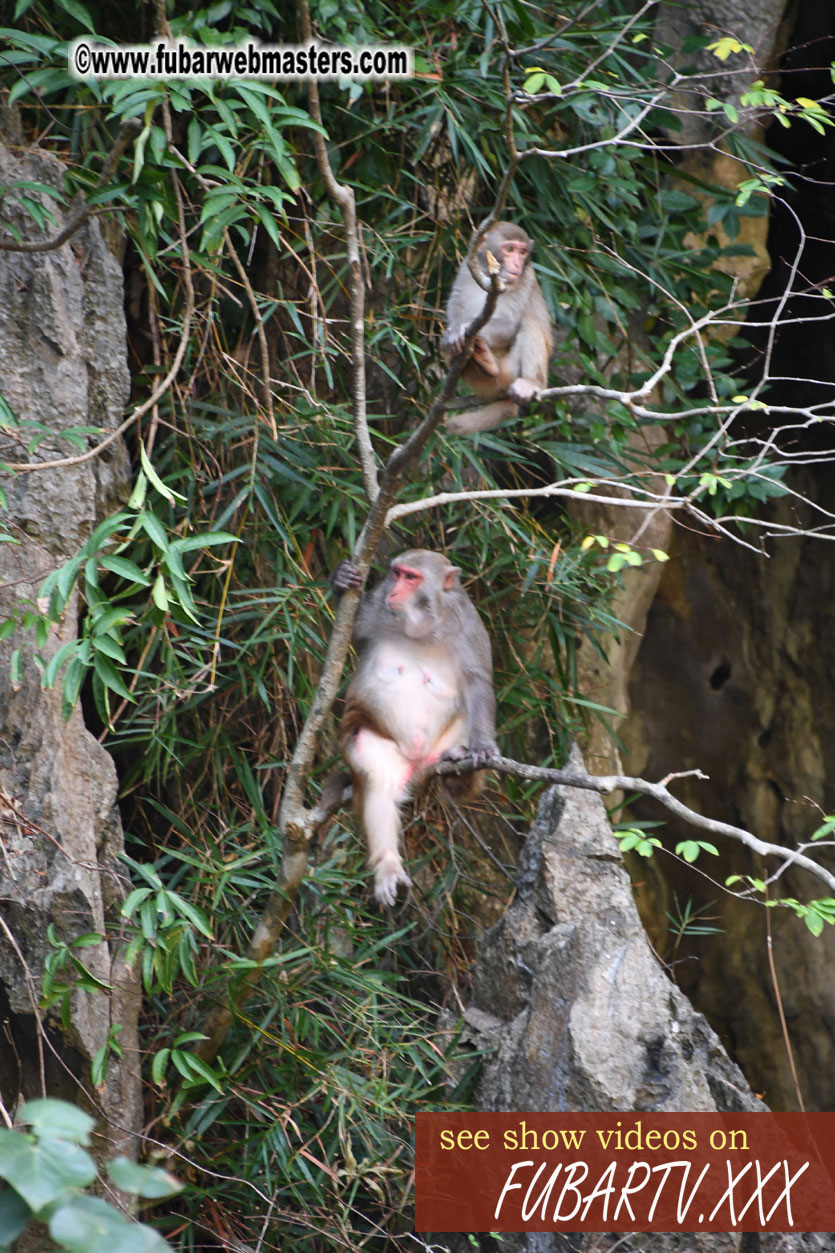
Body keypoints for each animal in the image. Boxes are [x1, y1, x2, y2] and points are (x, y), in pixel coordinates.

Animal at [330, 553, 493, 907]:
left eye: (412, 578)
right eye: (396, 574)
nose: (395, 590)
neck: (423, 628)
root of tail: (418, 763)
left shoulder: (470, 628)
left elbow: (477, 685)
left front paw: (483, 747)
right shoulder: (375, 611)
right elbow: (343, 637)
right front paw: (339, 580)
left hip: (438, 748)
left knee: (464, 714)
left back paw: (459, 763)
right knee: (378, 781)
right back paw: (387, 864)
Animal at [438, 223, 549, 438]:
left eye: (523, 252)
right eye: (510, 249)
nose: (516, 263)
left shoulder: (526, 278)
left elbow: (509, 324)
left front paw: (464, 329)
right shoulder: (467, 269)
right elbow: (455, 308)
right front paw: (454, 332)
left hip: (512, 371)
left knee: (529, 322)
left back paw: (529, 383)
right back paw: (482, 362)